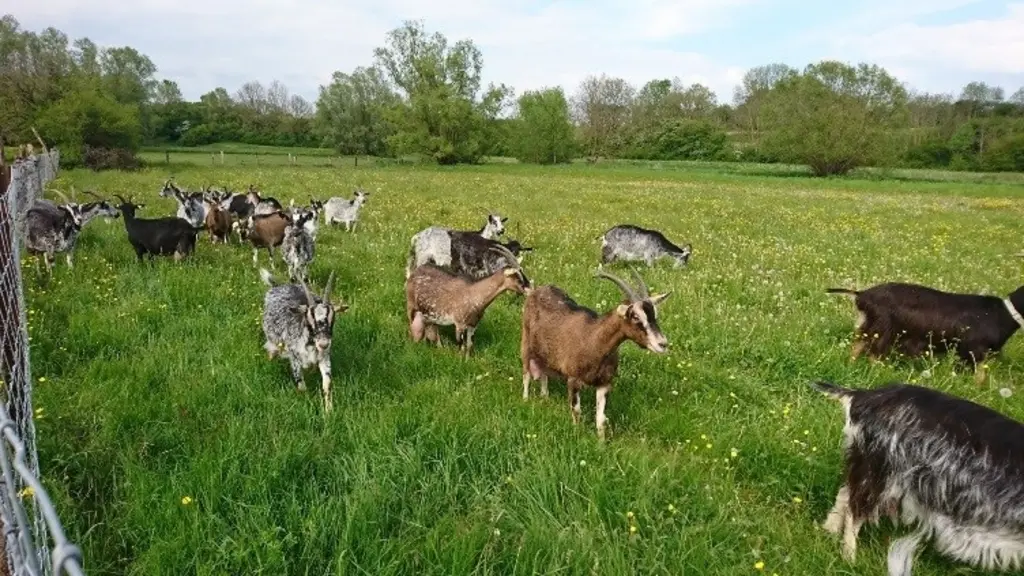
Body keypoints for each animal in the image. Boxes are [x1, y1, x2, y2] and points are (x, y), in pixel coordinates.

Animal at [260, 268, 347, 412]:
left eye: (333, 318)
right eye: (309, 318)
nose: (323, 343)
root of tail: (277, 286)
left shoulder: (324, 357)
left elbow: (327, 384)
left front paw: (329, 410)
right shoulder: (294, 357)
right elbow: (301, 385)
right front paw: (305, 401)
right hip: (273, 339)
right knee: (272, 350)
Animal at [520, 269, 670, 439]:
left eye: (655, 315)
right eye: (635, 316)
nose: (663, 344)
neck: (594, 339)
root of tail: (537, 290)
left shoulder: (604, 383)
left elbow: (600, 418)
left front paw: (601, 441)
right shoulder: (573, 379)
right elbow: (576, 410)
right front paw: (577, 433)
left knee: (544, 374)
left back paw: (544, 397)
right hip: (526, 344)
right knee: (526, 374)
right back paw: (525, 400)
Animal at [812, 380, 1024, 575]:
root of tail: (862, 396)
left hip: (864, 462)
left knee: (845, 492)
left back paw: (829, 530)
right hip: (881, 472)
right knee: (854, 512)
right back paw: (850, 559)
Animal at [827, 282, 1024, 385]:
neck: (1003, 314)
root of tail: (861, 295)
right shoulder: (974, 351)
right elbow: (979, 376)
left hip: (869, 328)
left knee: (856, 348)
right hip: (883, 330)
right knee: (873, 355)